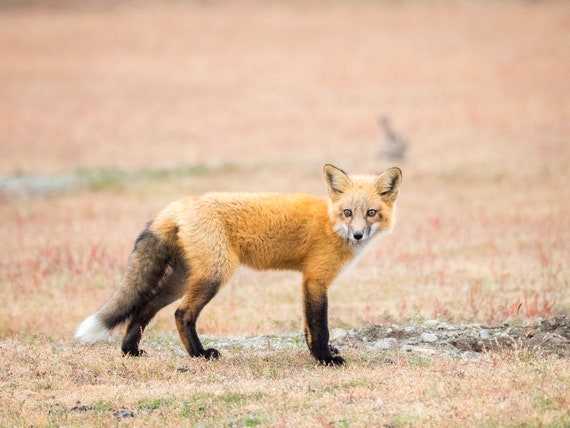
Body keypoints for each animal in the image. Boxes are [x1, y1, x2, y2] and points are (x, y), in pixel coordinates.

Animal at [75, 164, 402, 364]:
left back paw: (130, 350)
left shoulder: (309, 281)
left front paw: (317, 354)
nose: (358, 234)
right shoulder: (315, 279)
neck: (329, 223)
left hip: (182, 279)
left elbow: (308, 328)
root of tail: (180, 205)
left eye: (371, 213)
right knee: (182, 314)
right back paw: (199, 355)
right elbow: (319, 326)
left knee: (145, 307)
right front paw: (325, 359)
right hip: (214, 275)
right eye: (348, 212)